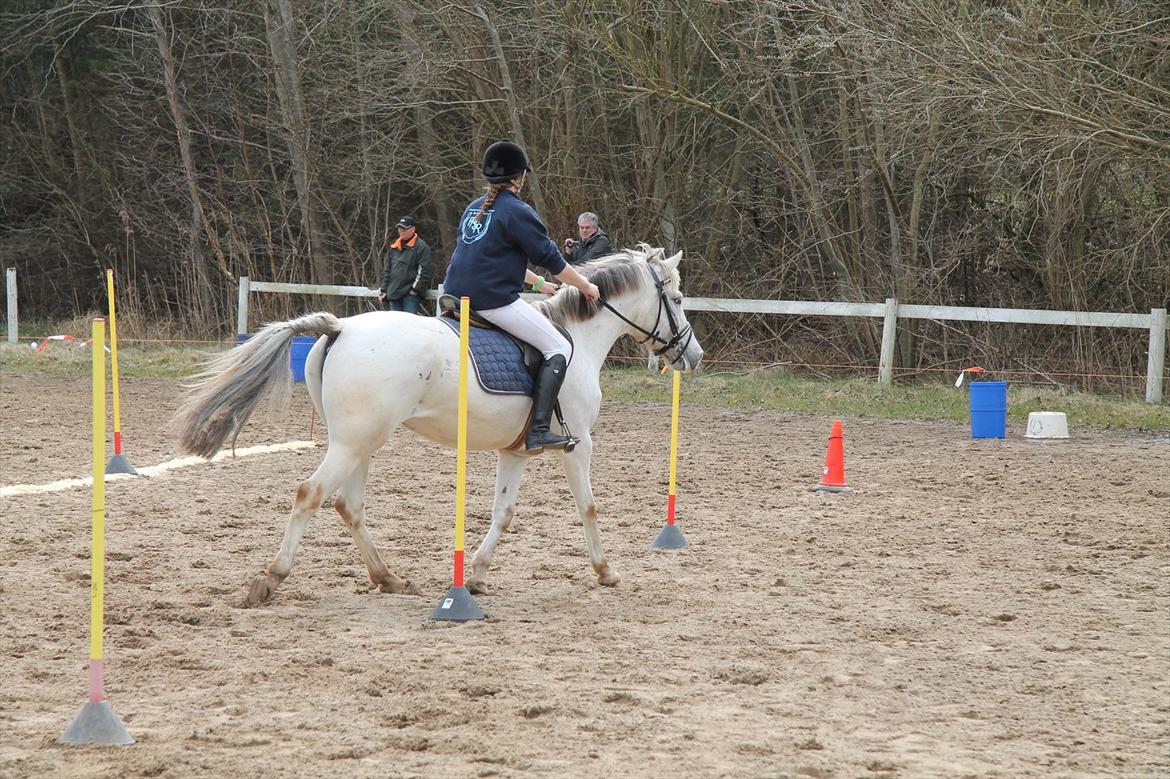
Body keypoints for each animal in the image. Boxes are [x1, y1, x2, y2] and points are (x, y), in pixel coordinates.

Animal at [172, 245, 704, 606]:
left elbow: (503, 513)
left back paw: (387, 578)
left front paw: (477, 576)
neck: (579, 338)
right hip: (353, 442)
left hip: (358, 443)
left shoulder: (516, 451)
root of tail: (340, 327)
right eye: (677, 298)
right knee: (310, 495)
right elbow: (588, 507)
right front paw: (605, 571)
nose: (693, 356)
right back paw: (271, 578)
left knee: (348, 504)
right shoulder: (579, 445)